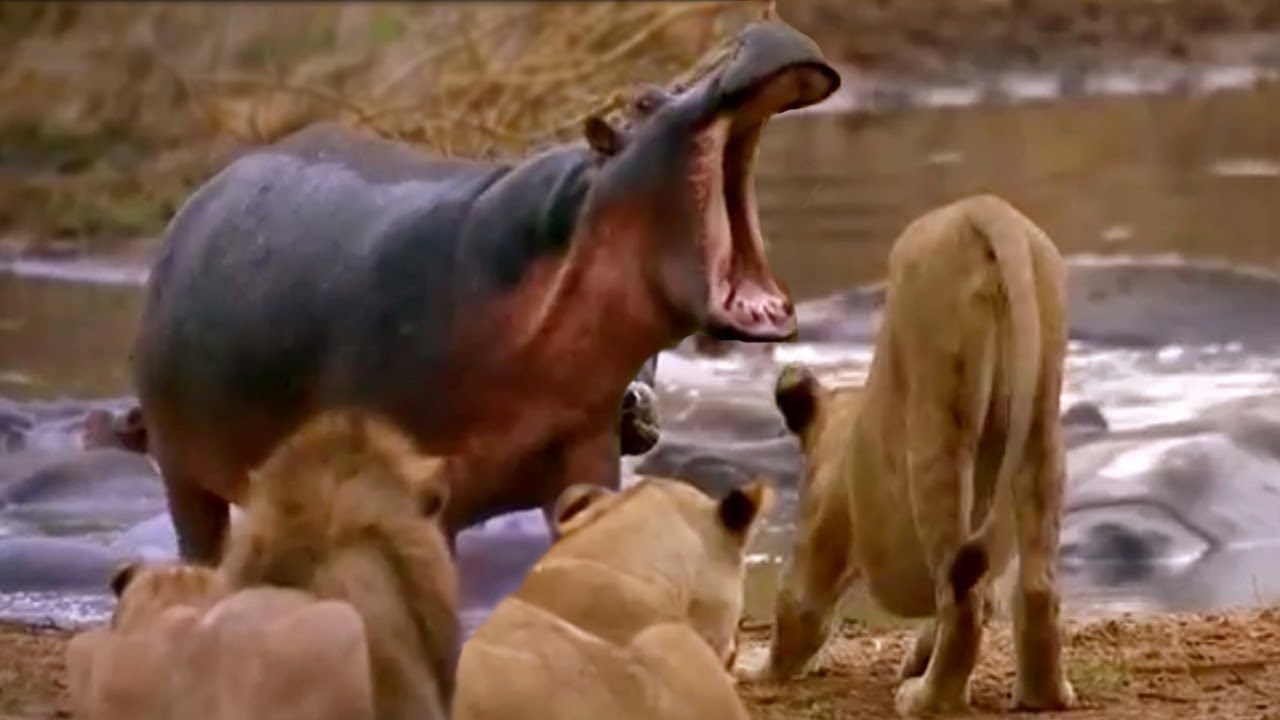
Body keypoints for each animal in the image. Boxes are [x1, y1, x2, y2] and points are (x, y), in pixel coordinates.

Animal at [748, 195, 1076, 716]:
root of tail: (983, 211)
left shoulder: (824, 519)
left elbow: (799, 606)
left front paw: (757, 670)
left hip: (936, 423)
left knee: (960, 601)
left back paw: (927, 700)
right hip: (1040, 418)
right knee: (1034, 587)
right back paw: (1040, 695)